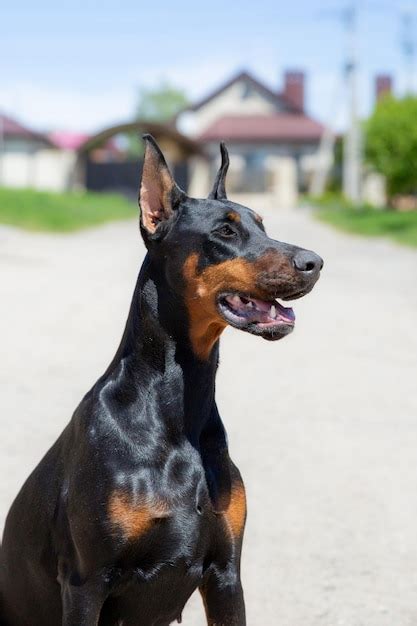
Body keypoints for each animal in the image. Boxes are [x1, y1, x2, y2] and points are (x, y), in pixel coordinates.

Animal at [0, 136, 322, 624]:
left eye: (263, 226)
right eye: (225, 232)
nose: (315, 262)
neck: (176, 410)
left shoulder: (226, 573)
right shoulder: (85, 582)